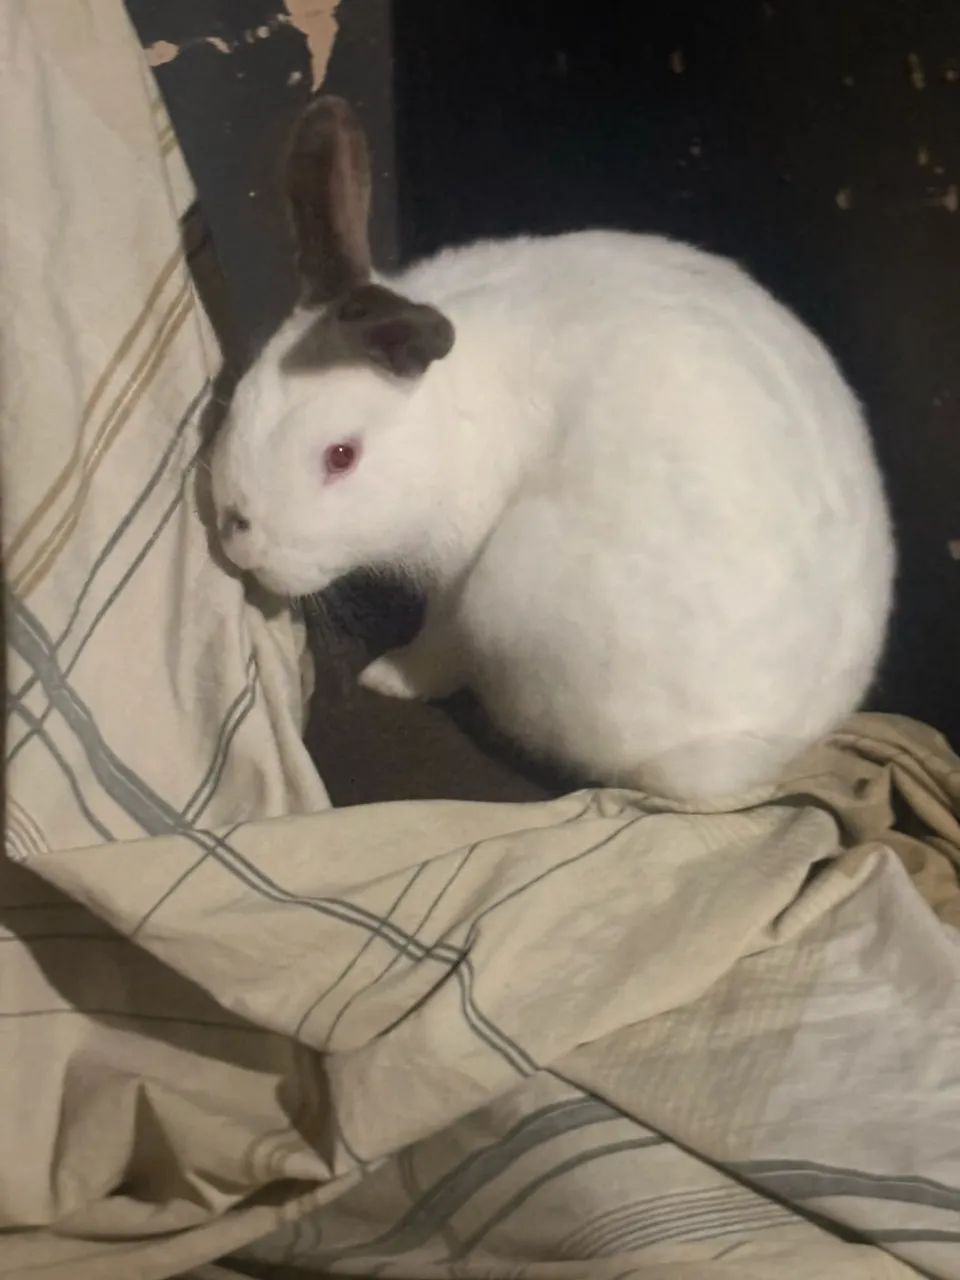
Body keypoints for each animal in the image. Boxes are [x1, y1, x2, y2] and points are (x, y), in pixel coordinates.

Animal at [211, 93, 894, 805]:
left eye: (341, 455)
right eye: (242, 398)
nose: (237, 536)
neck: (453, 415)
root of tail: (754, 753)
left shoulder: (457, 581)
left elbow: (437, 647)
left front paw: (387, 676)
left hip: (511, 589)